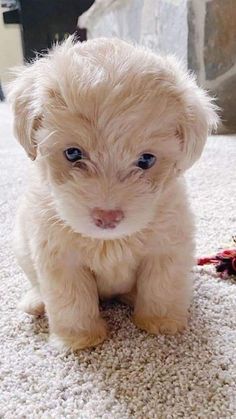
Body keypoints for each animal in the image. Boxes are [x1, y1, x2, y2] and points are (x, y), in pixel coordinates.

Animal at [8, 37, 218, 352]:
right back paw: (35, 301)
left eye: (146, 160)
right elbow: (72, 301)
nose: (107, 217)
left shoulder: (167, 247)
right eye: (73, 153)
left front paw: (161, 323)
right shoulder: (61, 257)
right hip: (22, 247)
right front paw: (78, 339)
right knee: (36, 283)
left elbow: (162, 286)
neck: (109, 240)